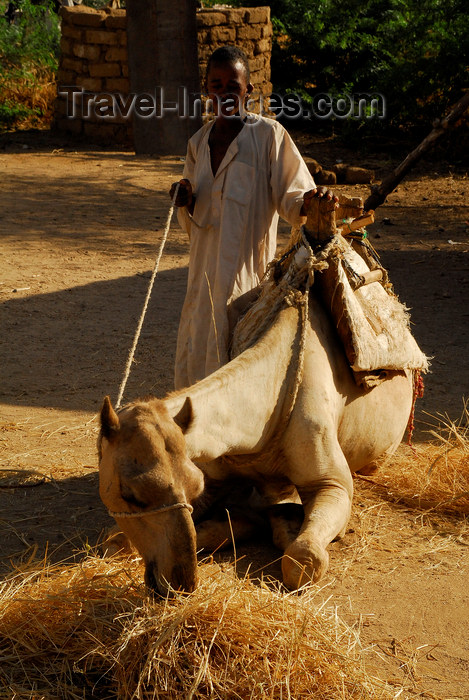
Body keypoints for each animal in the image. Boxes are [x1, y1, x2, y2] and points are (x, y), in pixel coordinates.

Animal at [98, 197, 416, 596]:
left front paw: (286, 526)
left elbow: (304, 559)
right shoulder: (218, 475)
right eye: (130, 494)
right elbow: (116, 541)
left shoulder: (333, 484)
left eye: (191, 486)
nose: (180, 582)